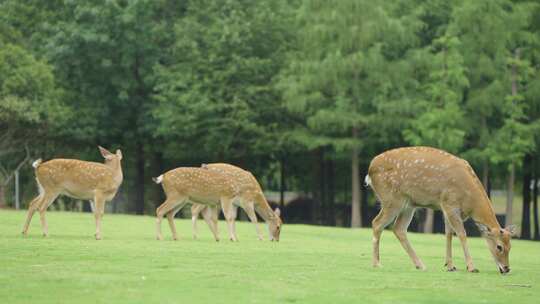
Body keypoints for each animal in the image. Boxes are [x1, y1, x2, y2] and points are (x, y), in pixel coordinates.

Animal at [368, 146, 516, 274]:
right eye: (499, 246)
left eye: (511, 246)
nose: (507, 268)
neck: (470, 201)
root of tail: (370, 170)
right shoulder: (450, 203)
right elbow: (461, 233)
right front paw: (471, 267)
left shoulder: (446, 208)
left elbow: (448, 234)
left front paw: (450, 266)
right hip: (392, 199)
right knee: (377, 223)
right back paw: (377, 263)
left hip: (409, 204)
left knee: (398, 228)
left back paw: (420, 265)